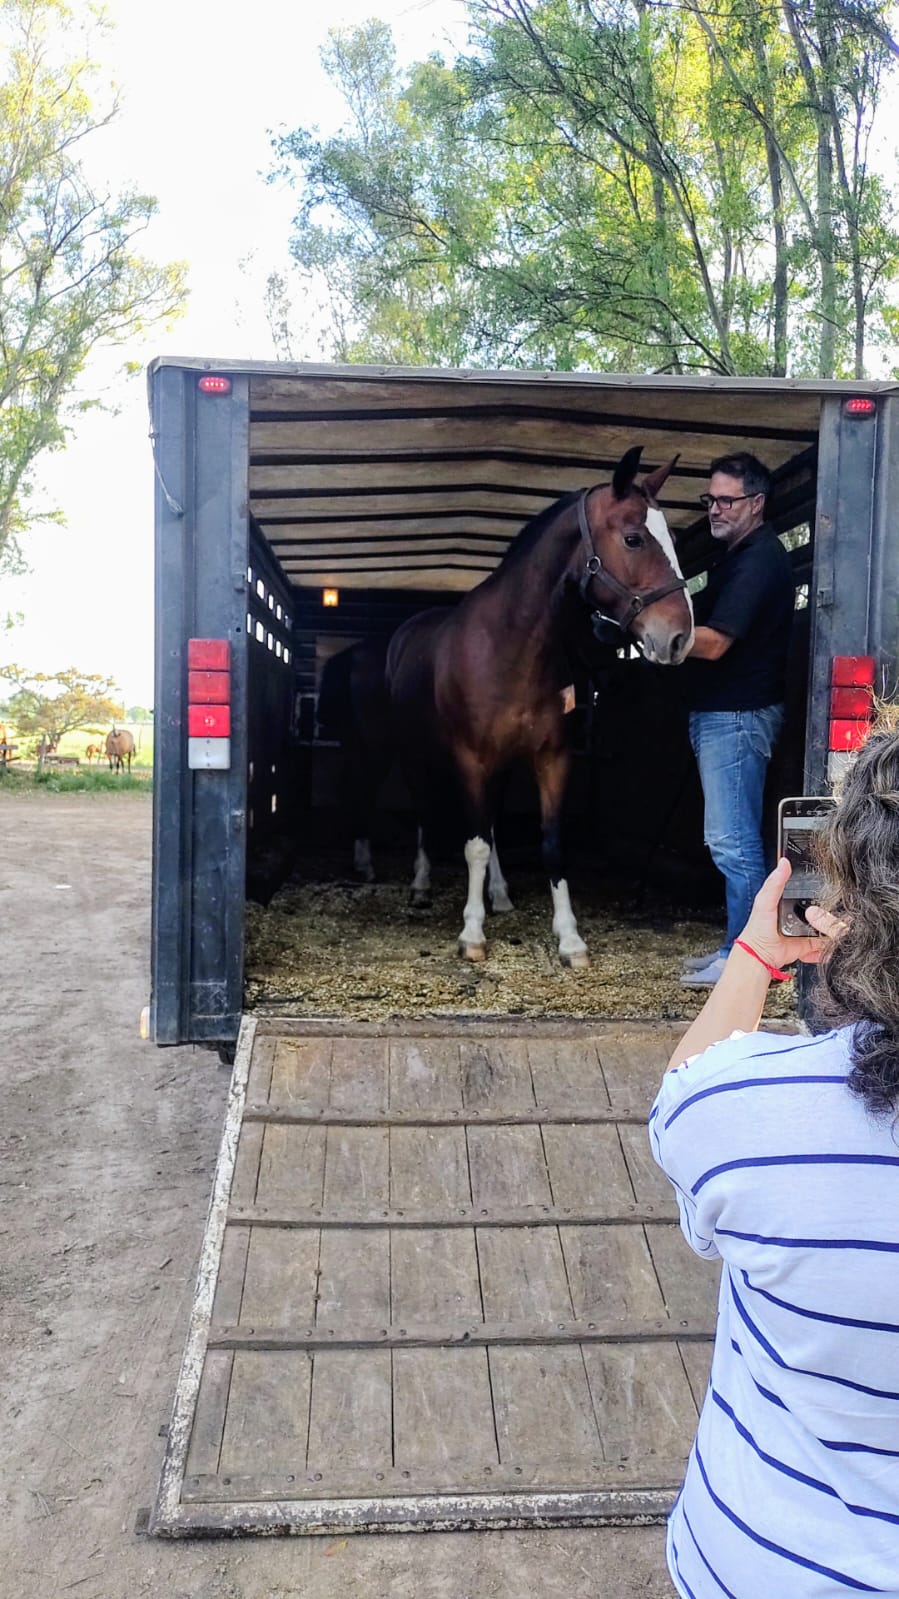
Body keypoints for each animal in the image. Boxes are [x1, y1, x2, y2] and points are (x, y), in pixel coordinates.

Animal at [385, 445, 694, 966]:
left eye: (672, 539)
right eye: (633, 538)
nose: (679, 638)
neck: (512, 646)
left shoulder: (552, 758)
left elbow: (550, 844)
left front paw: (569, 938)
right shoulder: (471, 759)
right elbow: (473, 845)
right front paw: (472, 933)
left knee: (491, 825)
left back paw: (501, 894)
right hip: (415, 754)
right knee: (429, 815)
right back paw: (422, 885)